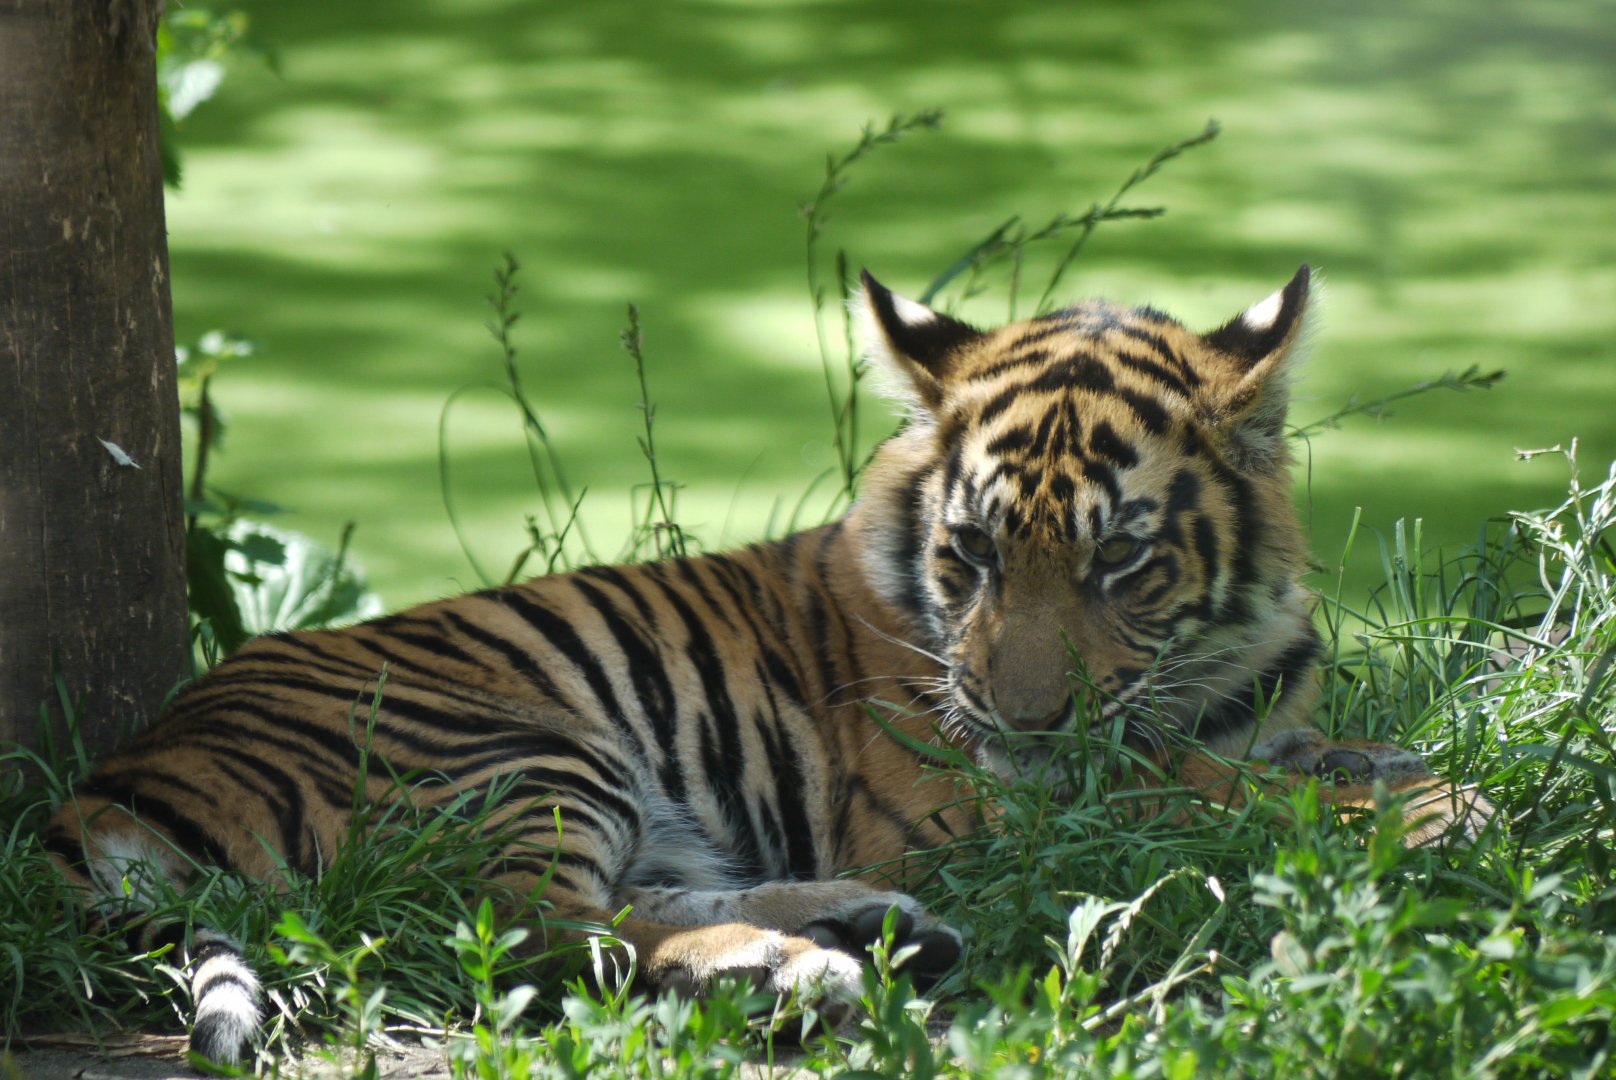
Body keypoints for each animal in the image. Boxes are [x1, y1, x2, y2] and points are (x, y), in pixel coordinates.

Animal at [44, 265, 1488, 1065]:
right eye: (971, 549)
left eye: (1118, 559)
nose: (1021, 716)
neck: (1212, 659)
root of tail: (105, 781)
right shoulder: (985, 798)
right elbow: (1195, 794)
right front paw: (1436, 809)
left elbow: (1299, 760)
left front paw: (1405, 774)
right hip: (519, 747)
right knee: (531, 933)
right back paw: (799, 969)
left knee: (623, 905)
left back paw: (861, 928)